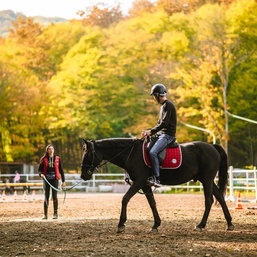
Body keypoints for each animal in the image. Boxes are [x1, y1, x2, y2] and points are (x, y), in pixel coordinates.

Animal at [80, 138, 234, 232]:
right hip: (207, 180)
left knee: (209, 200)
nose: (83, 175)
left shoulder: (139, 181)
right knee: (220, 198)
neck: (132, 153)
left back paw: (200, 225)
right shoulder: (145, 184)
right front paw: (156, 224)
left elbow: (125, 198)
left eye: (87, 155)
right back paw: (230, 223)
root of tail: (212, 146)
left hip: (207, 180)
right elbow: (152, 202)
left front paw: (121, 224)